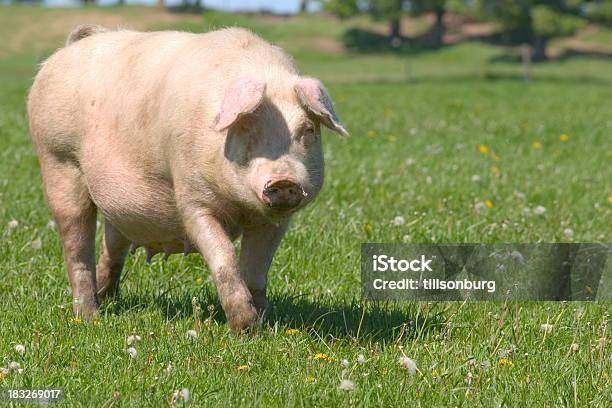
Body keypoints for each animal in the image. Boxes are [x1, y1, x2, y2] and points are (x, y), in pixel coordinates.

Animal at [28, 24, 346, 332]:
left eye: (308, 130)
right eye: (246, 128)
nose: (284, 181)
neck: (239, 207)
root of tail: (71, 47)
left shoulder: (276, 220)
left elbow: (256, 269)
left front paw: (263, 325)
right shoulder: (191, 198)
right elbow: (224, 256)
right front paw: (243, 328)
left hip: (115, 205)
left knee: (112, 243)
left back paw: (107, 299)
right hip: (58, 161)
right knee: (77, 245)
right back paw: (90, 317)